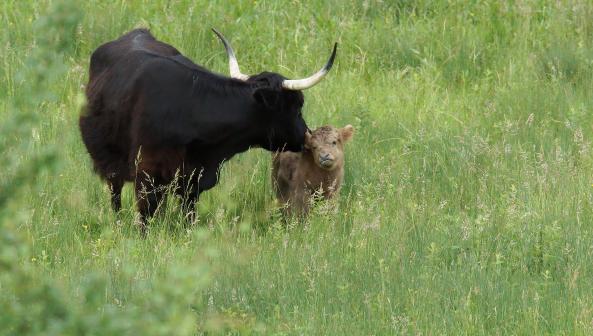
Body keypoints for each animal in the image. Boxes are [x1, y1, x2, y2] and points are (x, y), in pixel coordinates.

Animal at [80, 28, 338, 234]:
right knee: (115, 195)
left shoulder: (192, 181)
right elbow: (145, 218)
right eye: (297, 105)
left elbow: (188, 217)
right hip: (111, 163)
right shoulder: (146, 175)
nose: (307, 136)